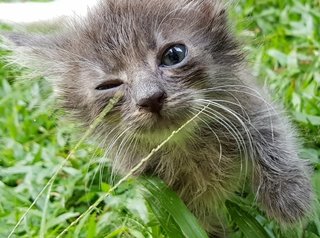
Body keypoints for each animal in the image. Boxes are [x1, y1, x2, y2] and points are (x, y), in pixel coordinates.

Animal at [1, 0, 314, 236]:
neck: (188, 145)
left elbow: (271, 135)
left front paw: (290, 199)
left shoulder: (249, 100)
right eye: (108, 86)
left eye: (174, 55)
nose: (150, 98)